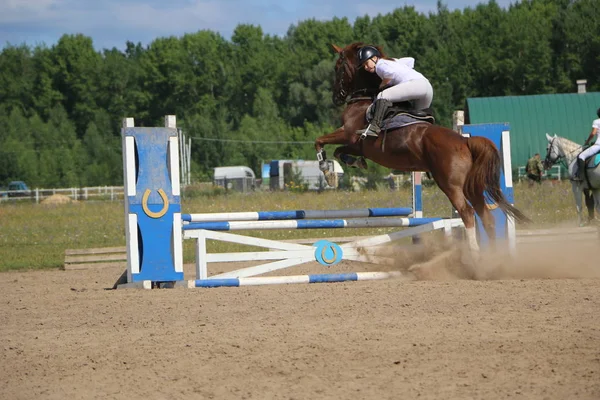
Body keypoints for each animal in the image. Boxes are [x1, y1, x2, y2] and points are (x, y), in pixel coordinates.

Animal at [314, 43, 528, 256]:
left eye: (338, 68)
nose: (336, 98)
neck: (365, 99)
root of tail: (465, 141)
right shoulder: (357, 146)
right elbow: (339, 152)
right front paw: (350, 165)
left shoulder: (348, 134)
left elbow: (321, 142)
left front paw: (327, 170)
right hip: (472, 186)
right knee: (485, 216)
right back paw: (493, 256)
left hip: (451, 185)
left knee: (467, 213)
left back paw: (475, 254)